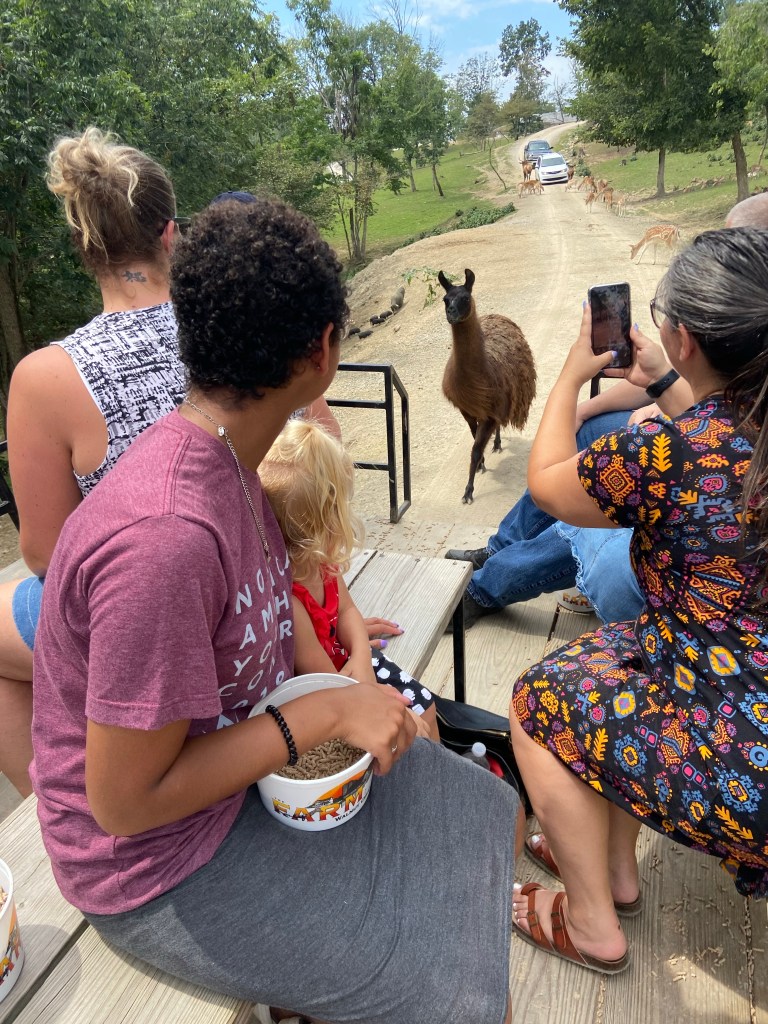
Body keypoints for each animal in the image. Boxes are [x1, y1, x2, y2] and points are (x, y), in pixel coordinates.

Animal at [438, 269, 536, 504]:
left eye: (465, 298)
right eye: (445, 299)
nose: (451, 313)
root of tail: (496, 315)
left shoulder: (490, 411)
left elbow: (474, 449)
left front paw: (468, 491)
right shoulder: (467, 410)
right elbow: (474, 440)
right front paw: (481, 464)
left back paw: (497, 443)